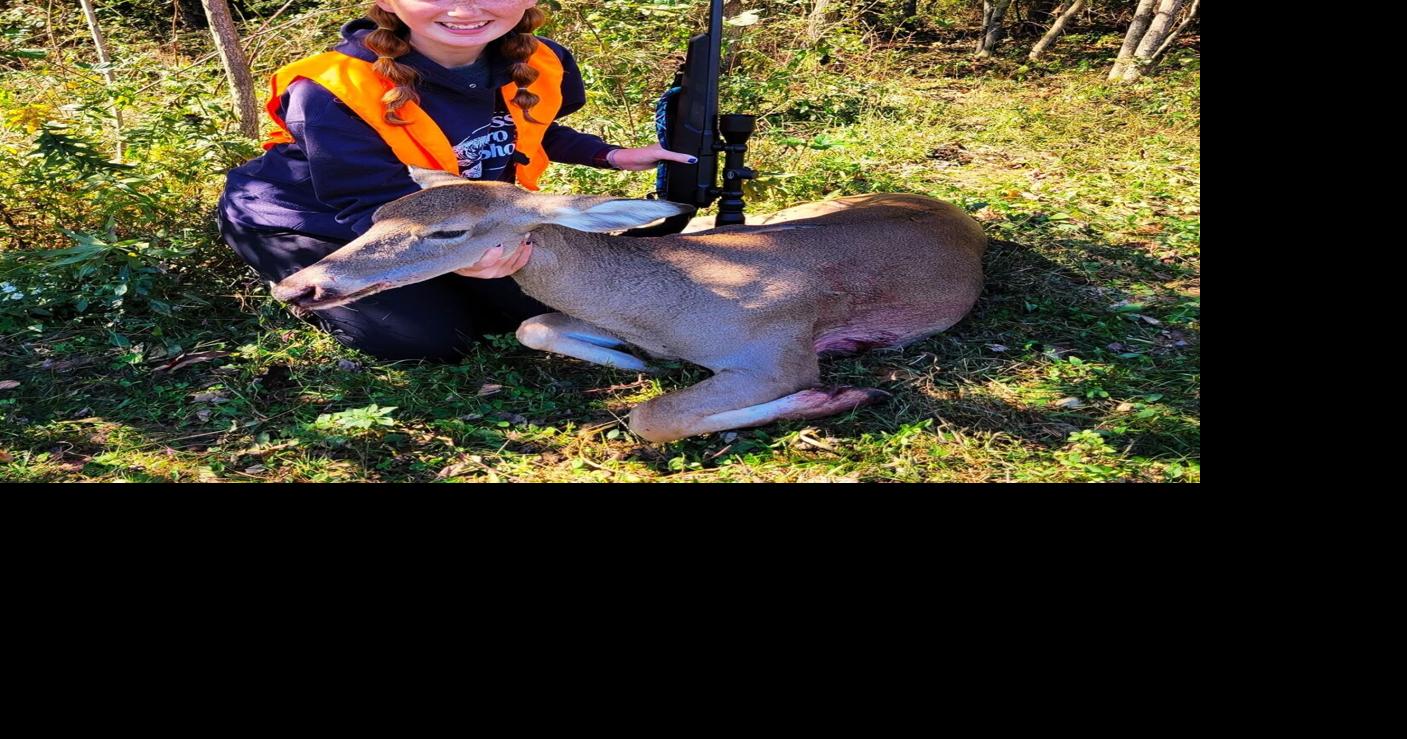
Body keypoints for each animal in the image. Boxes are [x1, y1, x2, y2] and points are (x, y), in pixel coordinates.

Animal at [271, 168, 987, 443]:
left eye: (449, 232)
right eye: (378, 214)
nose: (296, 287)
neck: (672, 299)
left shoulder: (779, 351)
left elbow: (651, 418)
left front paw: (834, 398)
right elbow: (532, 324)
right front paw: (634, 361)